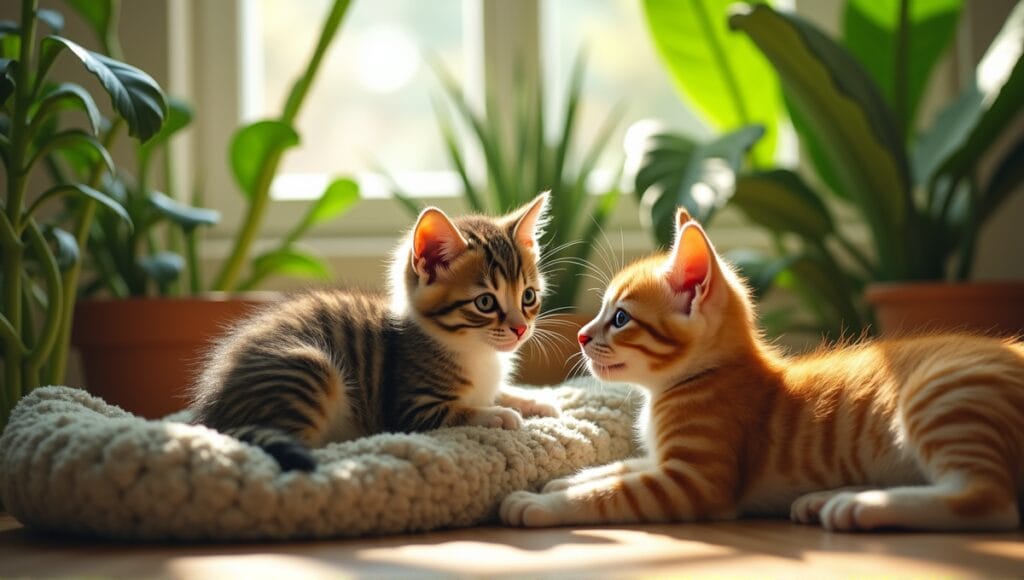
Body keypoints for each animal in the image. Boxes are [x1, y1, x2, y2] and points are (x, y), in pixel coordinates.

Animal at [192, 194, 561, 473]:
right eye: (485, 302)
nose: (520, 328)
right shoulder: (410, 409)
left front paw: (538, 402)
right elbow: (462, 412)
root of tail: (210, 412)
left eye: (528, 296)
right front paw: (499, 414)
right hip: (309, 368)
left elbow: (500, 391)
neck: (476, 350)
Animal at [499, 208, 1019, 532]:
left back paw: (858, 505)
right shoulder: (662, 459)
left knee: (990, 501)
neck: (690, 379)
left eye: (621, 317)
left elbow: (614, 493)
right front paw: (567, 479)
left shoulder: (694, 481)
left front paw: (542, 503)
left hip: (943, 395)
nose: (583, 336)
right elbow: (620, 467)